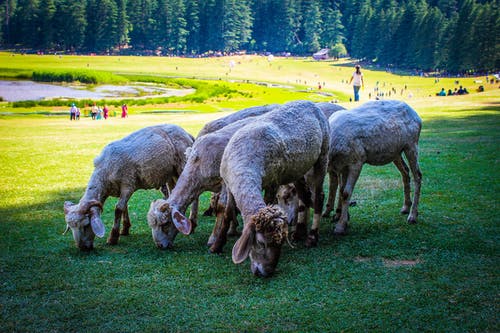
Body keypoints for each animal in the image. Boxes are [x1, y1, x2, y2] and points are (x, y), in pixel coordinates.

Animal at [63, 124, 195, 249]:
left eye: (86, 225)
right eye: (71, 227)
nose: (82, 248)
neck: (104, 173)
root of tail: (185, 132)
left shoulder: (128, 184)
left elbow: (118, 209)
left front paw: (113, 237)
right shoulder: (120, 188)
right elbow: (124, 207)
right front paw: (125, 229)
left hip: (182, 165)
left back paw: (192, 222)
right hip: (171, 173)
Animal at [218, 100, 328, 276]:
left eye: (280, 243)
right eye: (261, 243)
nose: (266, 272)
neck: (245, 164)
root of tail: (309, 102)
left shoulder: (272, 181)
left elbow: (268, 200)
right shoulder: (229, 185)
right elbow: (228, 212)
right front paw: (217, 244)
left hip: (323, 154)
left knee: (318, 197)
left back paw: (312, 237)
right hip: (297, 168)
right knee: (304, 196)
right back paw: (299, 232)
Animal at [326, 100, 424, 235]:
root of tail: (415, 113)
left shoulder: (357, 160)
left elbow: (346, 193)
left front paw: (340, 226)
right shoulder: (343, 166)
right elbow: (341, 191)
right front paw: (341, 218)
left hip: (412, 145)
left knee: (418, 176)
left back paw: (413, 216)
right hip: (396, 152)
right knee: (405, 172)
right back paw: (405, 207)